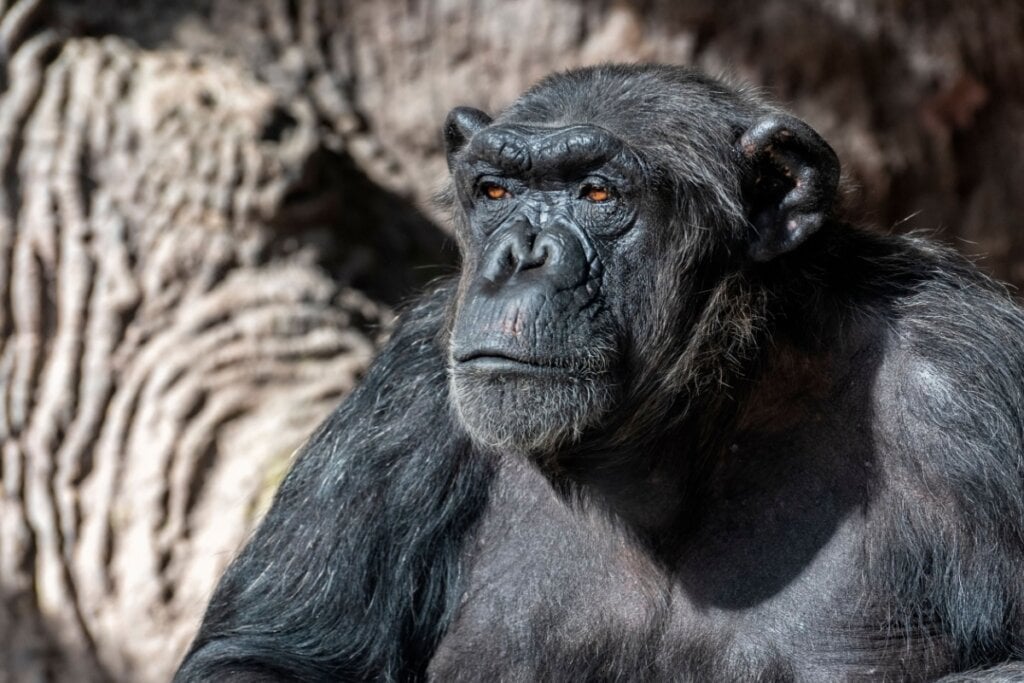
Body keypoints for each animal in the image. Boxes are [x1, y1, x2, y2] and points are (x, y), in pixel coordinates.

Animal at [174, 65, 1024, 683]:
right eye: (495, 190)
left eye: (597, 192)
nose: (520, 254)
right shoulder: (403, 394)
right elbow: (269, 654)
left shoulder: (970, 387)